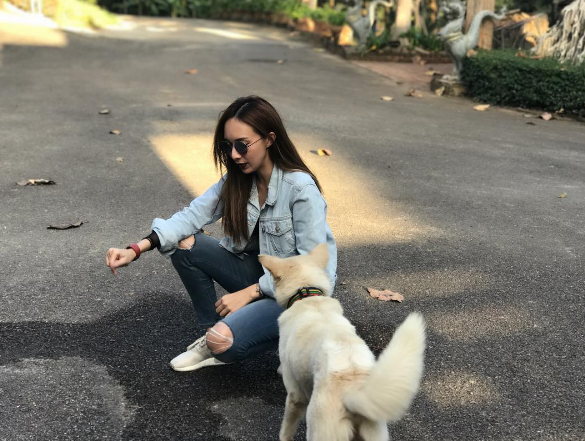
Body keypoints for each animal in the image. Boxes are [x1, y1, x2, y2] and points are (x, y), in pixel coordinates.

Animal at [259, 244, 426, 441]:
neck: (308, 296)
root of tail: (352, 392)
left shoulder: (295, 395)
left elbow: (286, 429)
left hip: (319, 429)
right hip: (375, 432)